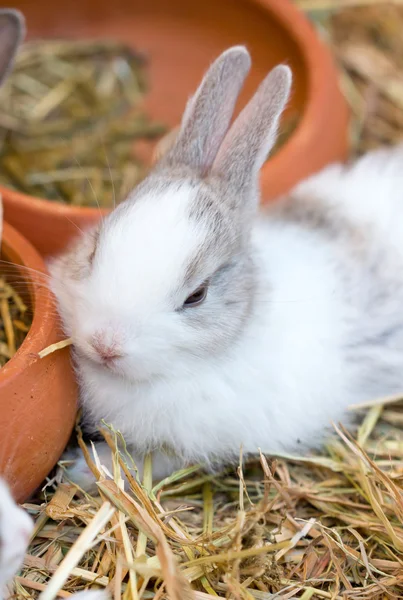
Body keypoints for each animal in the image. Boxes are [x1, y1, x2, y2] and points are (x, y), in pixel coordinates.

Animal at [49, 45, 403, 488]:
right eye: (95, 248)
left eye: (196, 296)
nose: (105, 344)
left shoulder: (191, 443)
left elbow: (148, 461)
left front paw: (83, 468)